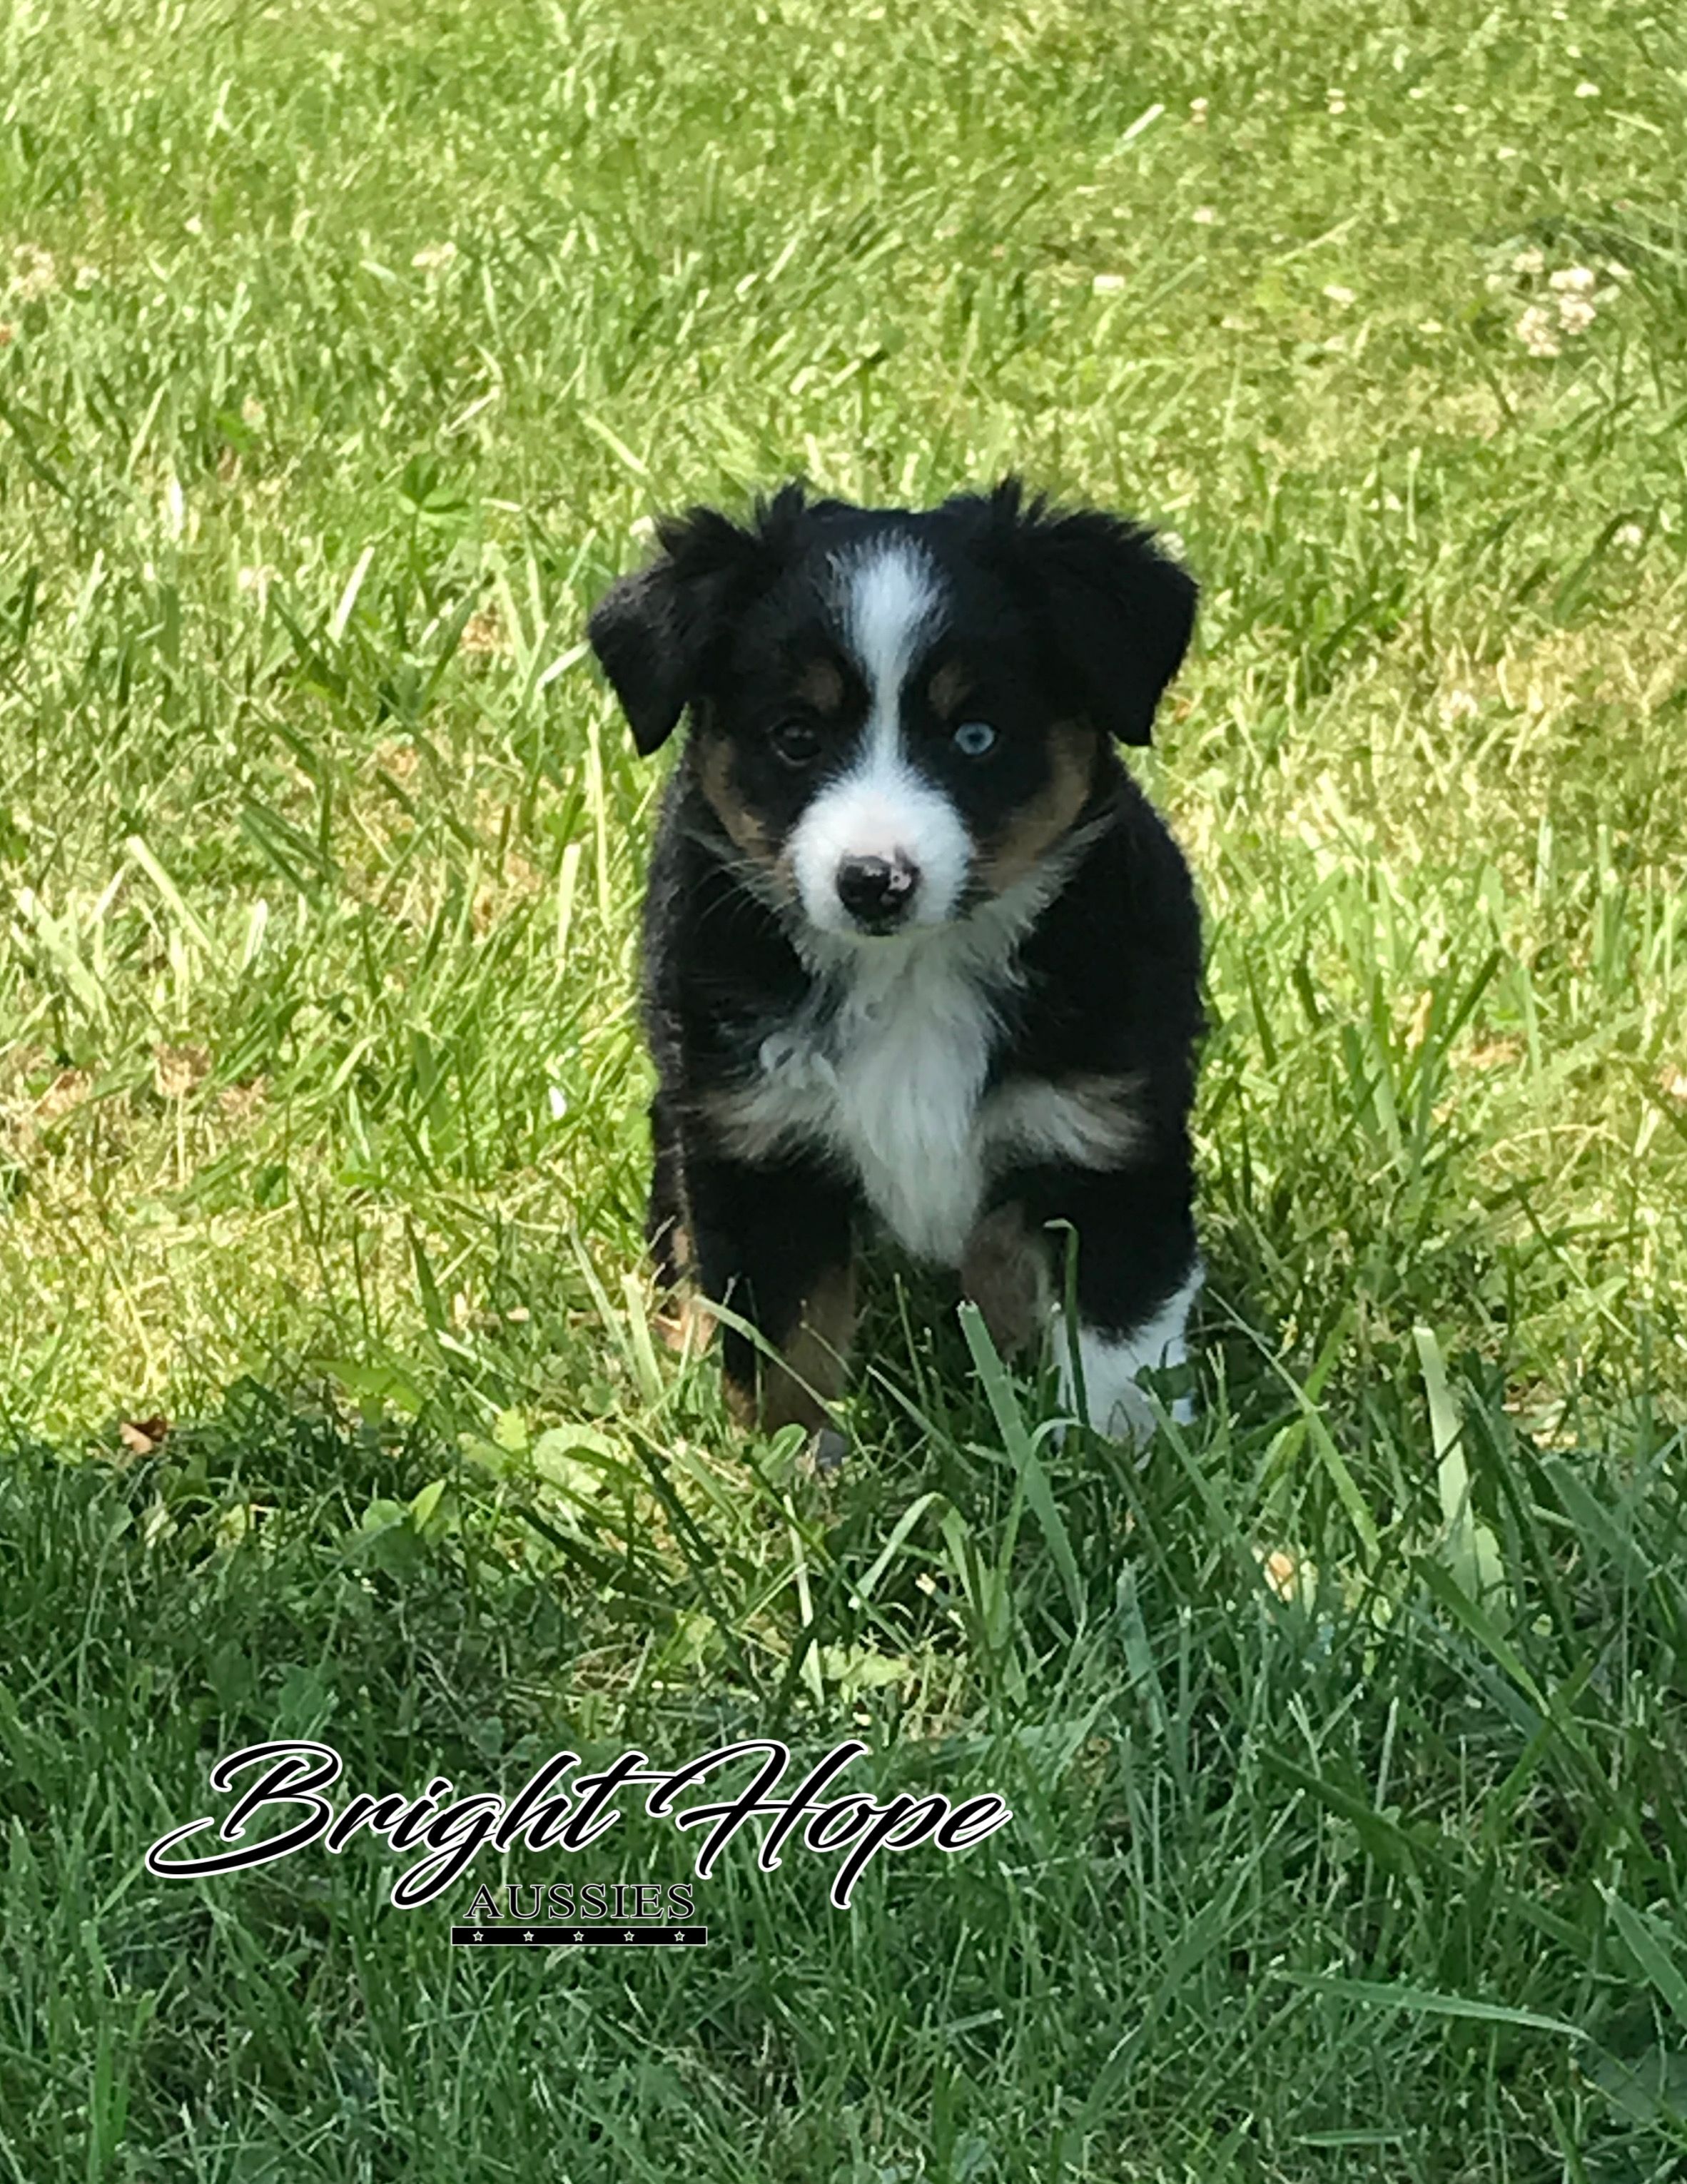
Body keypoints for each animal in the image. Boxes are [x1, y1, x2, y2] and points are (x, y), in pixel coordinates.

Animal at [587, 478, 1203, 1444]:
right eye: (796, 736)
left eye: (976, 737)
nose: (874, 881)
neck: (912, 971)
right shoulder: (757, 1150)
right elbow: (782, 1348)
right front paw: (787, 1465)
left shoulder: (1110, 1140)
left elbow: (1122, 1340)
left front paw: (1124, 1458)